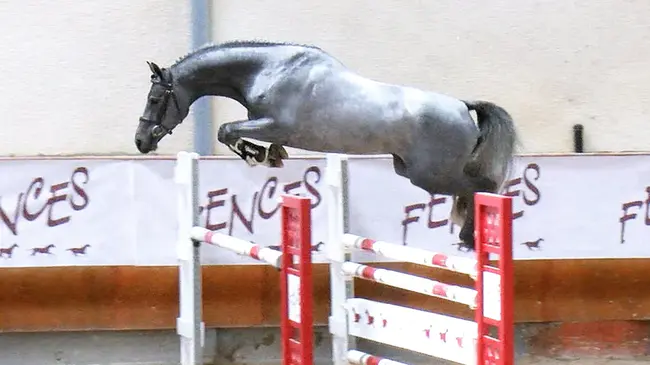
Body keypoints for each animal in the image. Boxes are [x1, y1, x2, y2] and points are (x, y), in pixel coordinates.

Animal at [134, 40, 512, 250]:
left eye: (155, 99)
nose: (140, 141)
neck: (268, 70)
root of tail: (462, 106)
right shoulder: (270, 126)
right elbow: (234, 133)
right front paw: (268, 155)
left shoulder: (275, 124)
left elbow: (227, 131)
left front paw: (257, 155)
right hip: (411, 170)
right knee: (474, 188)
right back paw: (470, 235)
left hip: (431, 174)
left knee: (482, 186)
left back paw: (472, 236)